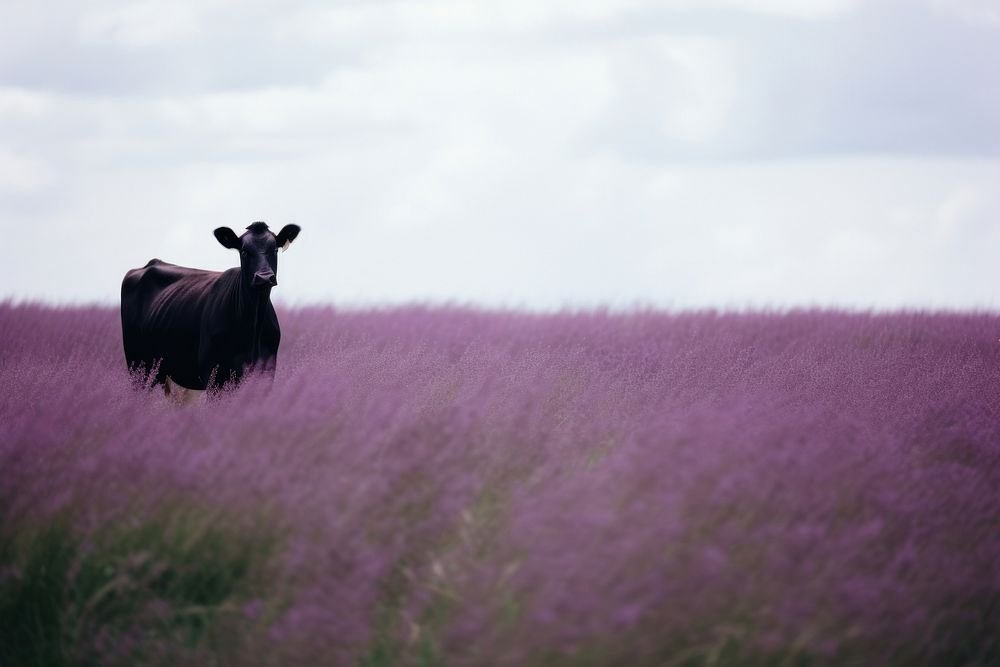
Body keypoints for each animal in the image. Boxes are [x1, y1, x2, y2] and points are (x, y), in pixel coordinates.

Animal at [121, 221, 301, 394]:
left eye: (275, 250)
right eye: (244, 251)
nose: (264, 277)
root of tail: (149, 264)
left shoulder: (267, 371)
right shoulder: (214, 374)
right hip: (137, 366)